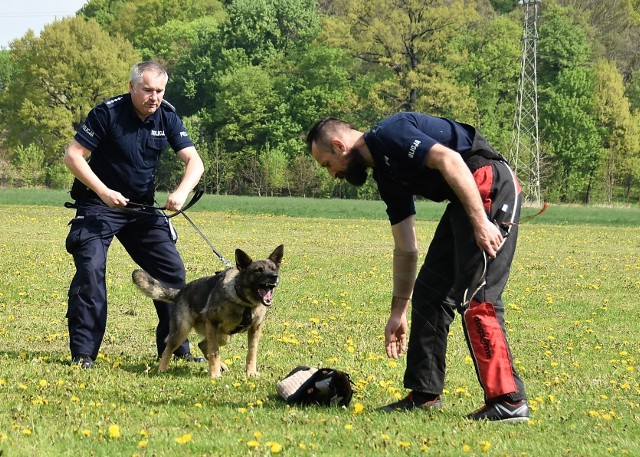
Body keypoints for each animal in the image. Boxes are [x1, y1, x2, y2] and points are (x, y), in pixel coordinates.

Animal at [132, 246, 282, 378]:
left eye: (273, 269)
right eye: (258, 270)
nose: (274, 277)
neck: (244, 302)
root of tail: (180, 291)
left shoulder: (255, 329)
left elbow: (252, 352)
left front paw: (251, 372)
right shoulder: (212, 323)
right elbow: (214, 352)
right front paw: (215, 375)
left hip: (224, 336)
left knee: (203, 344)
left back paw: (221, 365)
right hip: (182, 331)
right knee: (169, 349)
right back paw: (162, 369)